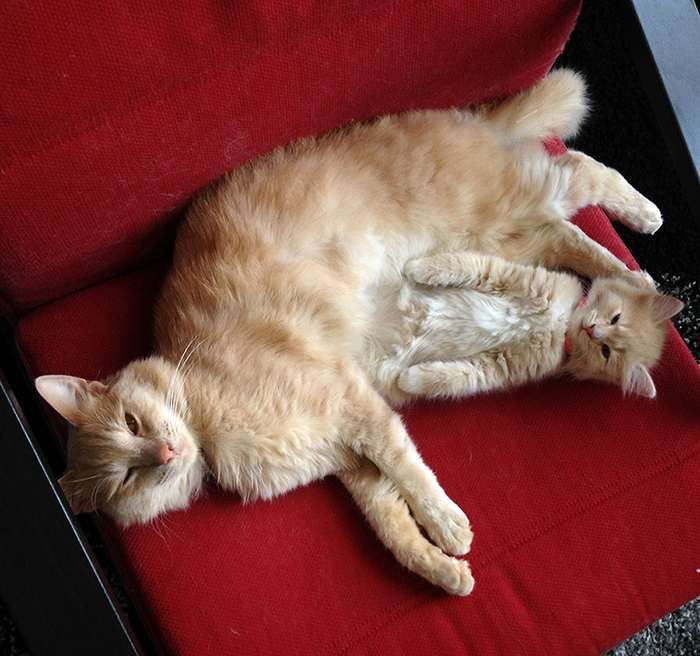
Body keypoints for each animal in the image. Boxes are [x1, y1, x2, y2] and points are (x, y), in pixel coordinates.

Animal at [35, 68, 668, 596]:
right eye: (126, 475)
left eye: (132, 422)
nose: (166, 451)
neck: (204, 418)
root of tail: (473, 118)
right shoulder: (350, 461)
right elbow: (392, 526)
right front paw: (443, 570)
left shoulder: (355, 406)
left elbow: (412, 472)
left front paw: (449, 525)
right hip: (511, 238)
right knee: (568, 233)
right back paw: (629, 280)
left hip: (493, 217)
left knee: (581, 169)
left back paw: (643, 234)